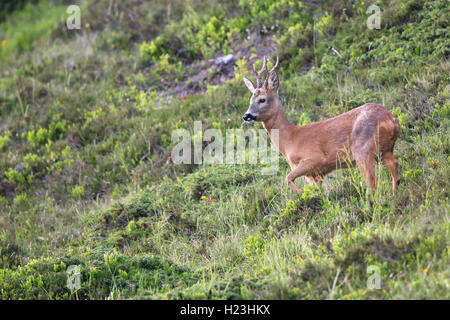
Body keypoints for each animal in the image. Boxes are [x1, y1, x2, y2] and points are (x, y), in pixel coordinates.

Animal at [243, 56, 400, 194]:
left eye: (262, 99)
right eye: (250, 100)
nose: (246, 115)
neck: (290, 139)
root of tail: (392, 119)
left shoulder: (315, 158)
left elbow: (287, 178)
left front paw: (300, 195)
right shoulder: (314, 175)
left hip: (362, 148)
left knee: (372, 183)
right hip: (384, 150)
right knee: (394, 165)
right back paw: (394, 195)